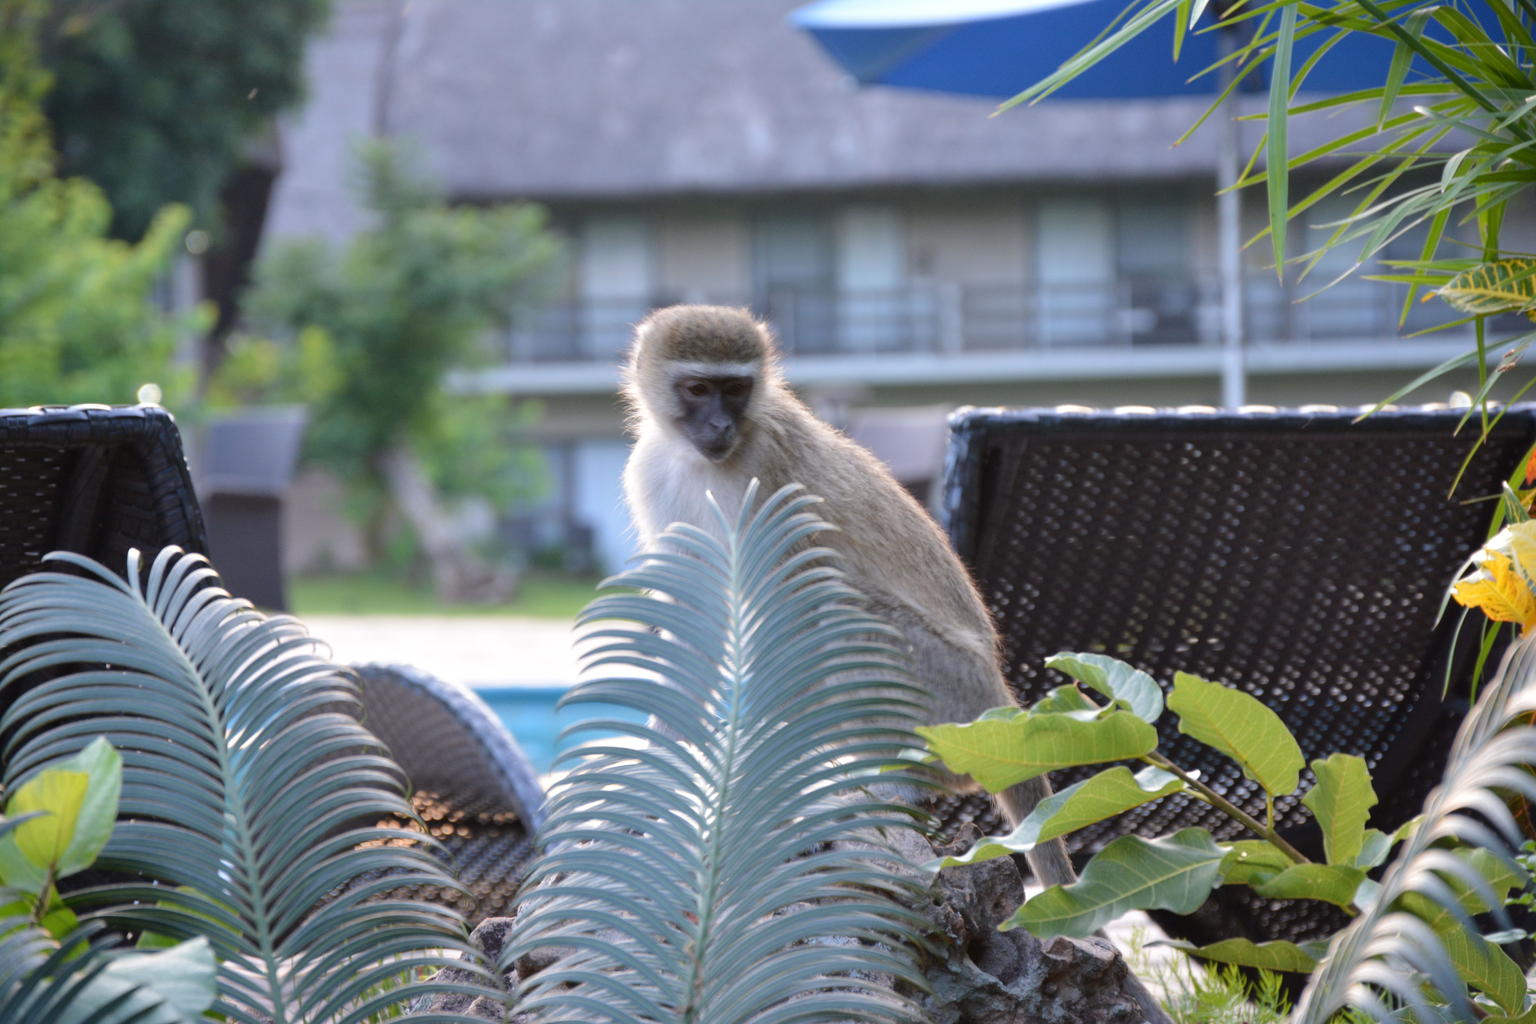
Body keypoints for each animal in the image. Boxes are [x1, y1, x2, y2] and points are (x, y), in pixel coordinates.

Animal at [618, 304, 1077, 889]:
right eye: (698, 388)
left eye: (736, 389)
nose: (720, 426)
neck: (697, 460)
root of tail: (1001, 702)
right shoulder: (652, 474)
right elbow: (695, 615)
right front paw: (656, 776)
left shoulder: (764, 478)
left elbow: (785, 605)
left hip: (955, 697)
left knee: (833, 611)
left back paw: (899, 783)